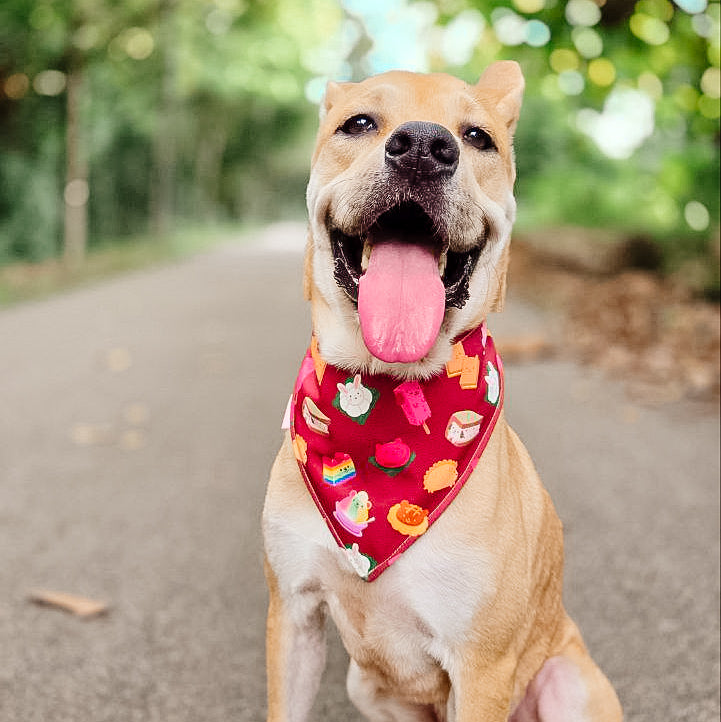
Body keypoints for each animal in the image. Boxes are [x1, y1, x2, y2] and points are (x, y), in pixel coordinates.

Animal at [262, 63, 620, 720]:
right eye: (358, 123)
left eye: (478, 137)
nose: (424, 147)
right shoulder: (293, 618)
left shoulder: (482, 667)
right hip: (364, 683)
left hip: (566, 681)